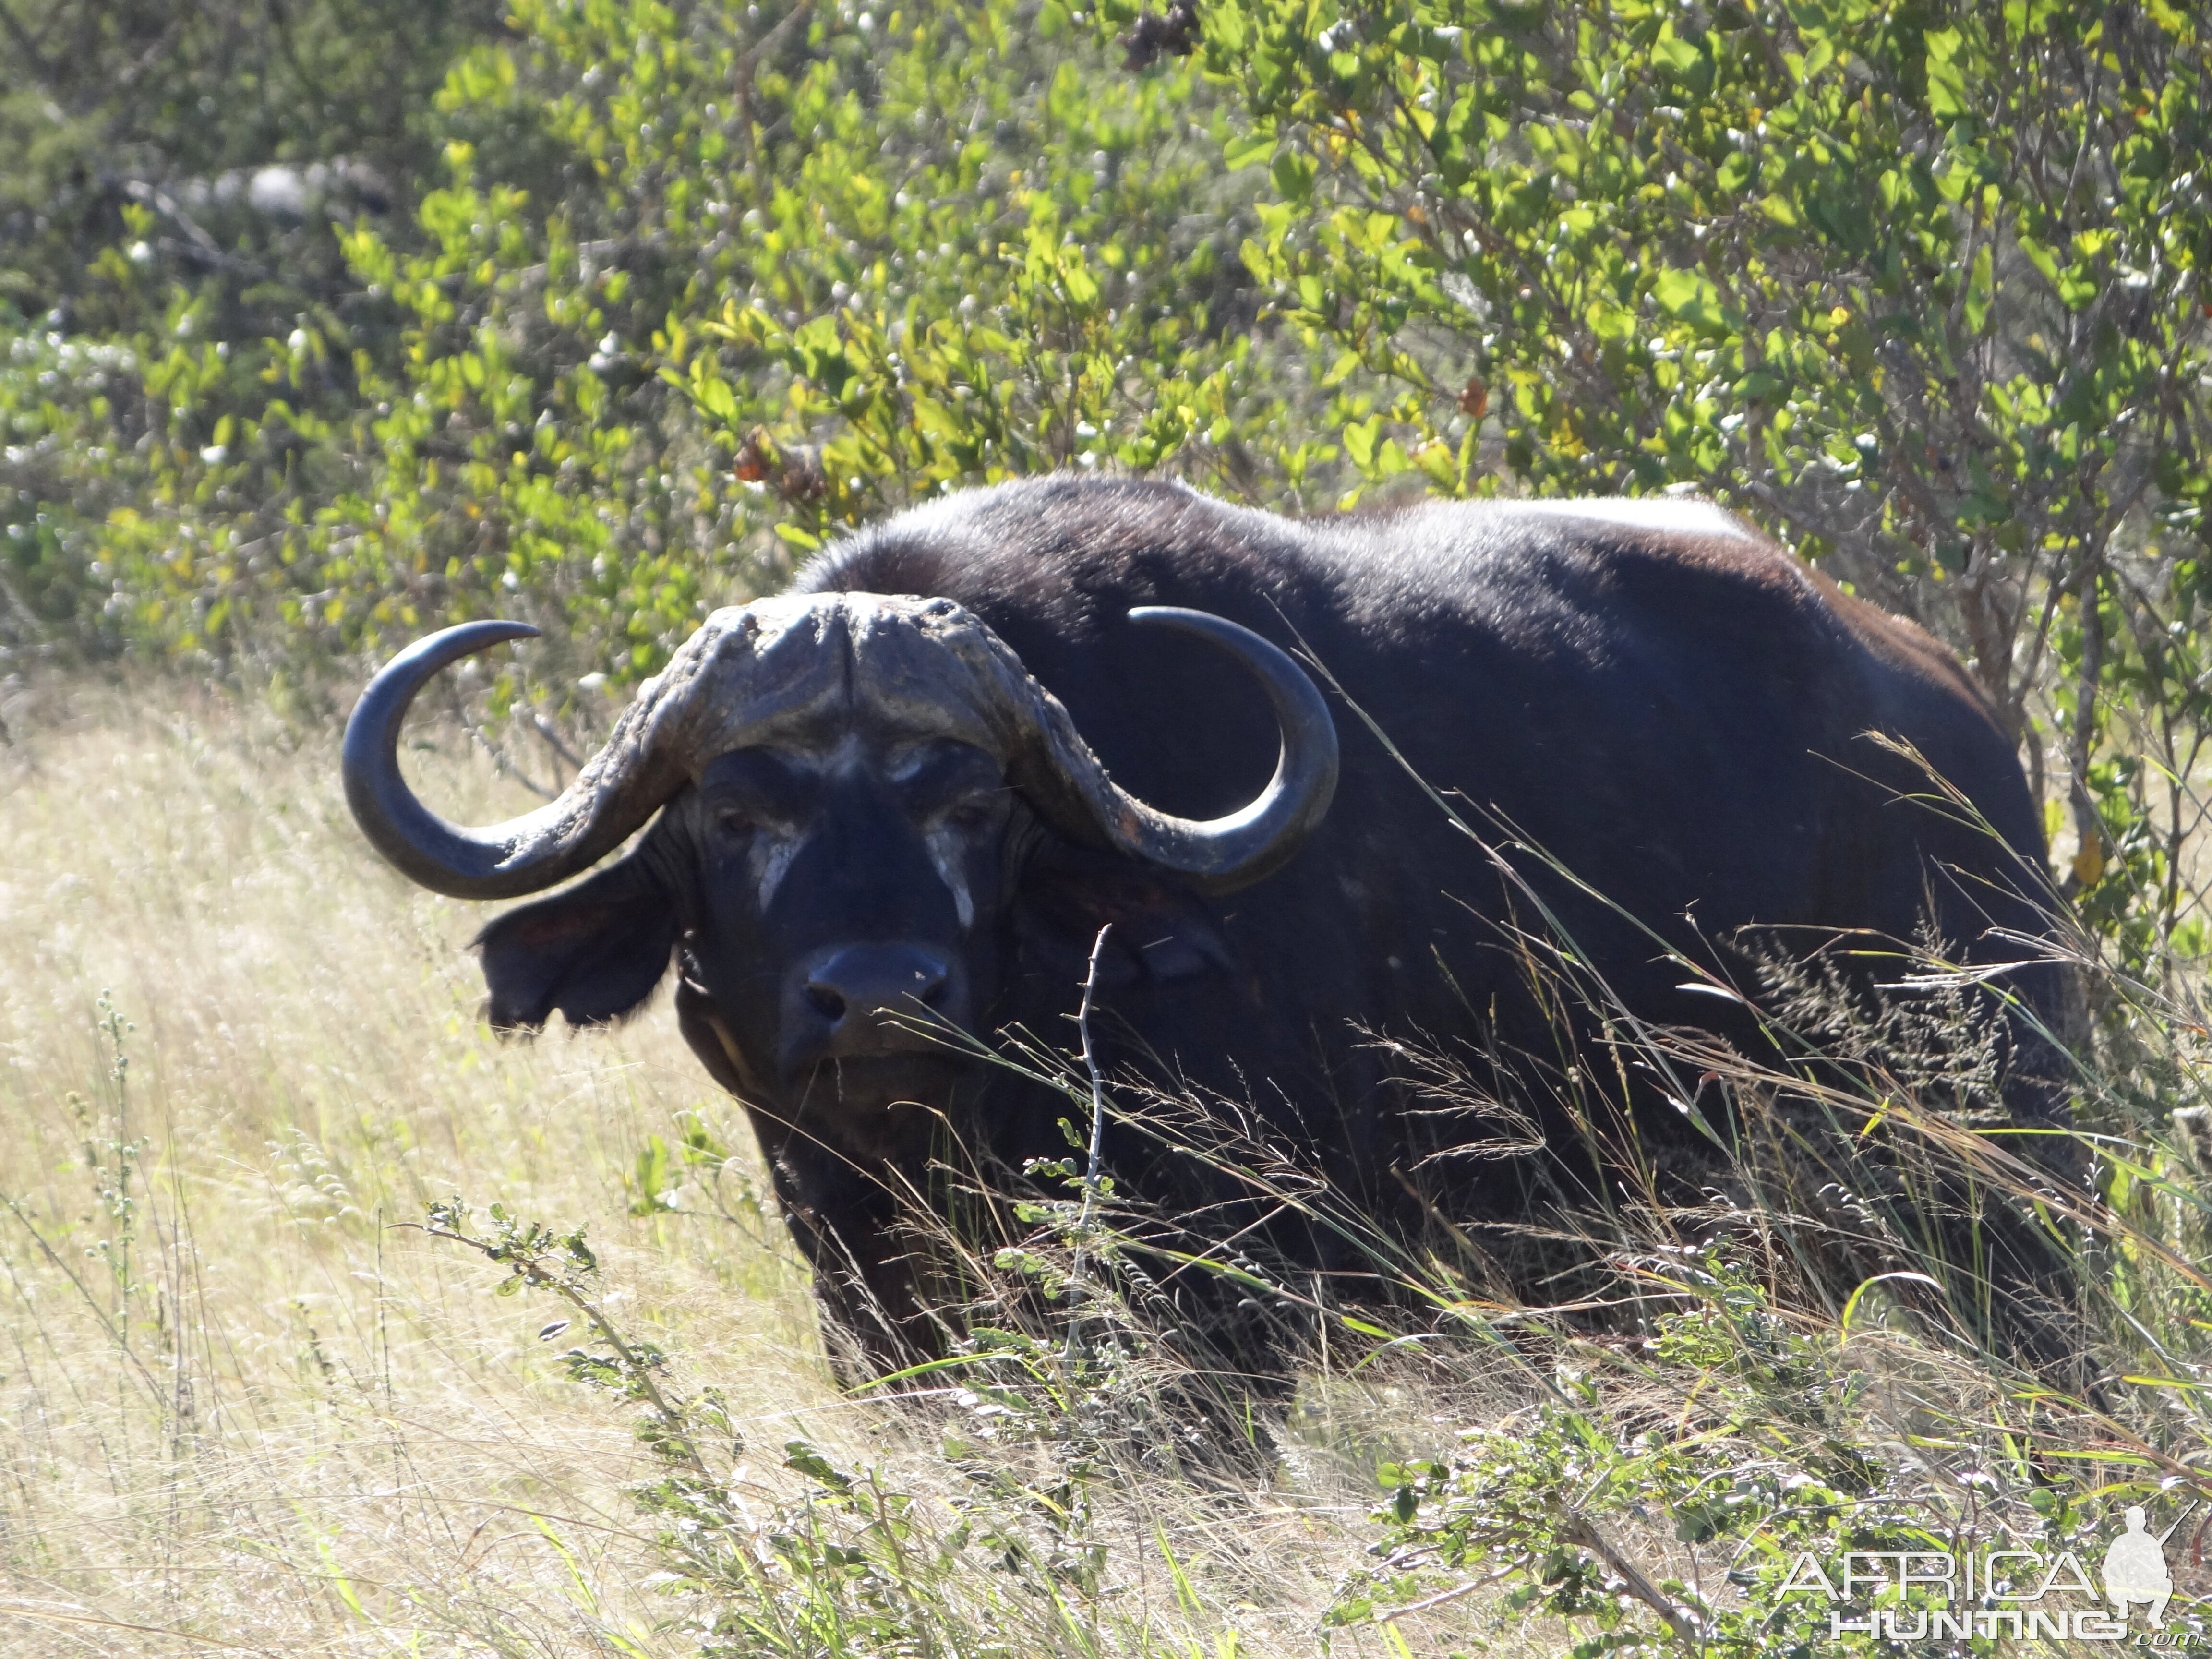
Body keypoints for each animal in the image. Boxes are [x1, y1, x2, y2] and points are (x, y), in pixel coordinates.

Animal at [345, 471, 2070, 1380]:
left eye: (969, 804)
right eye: (731, 813)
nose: (881, 996)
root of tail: (1963, 740)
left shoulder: (1217, 1317)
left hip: (1998, 1189)